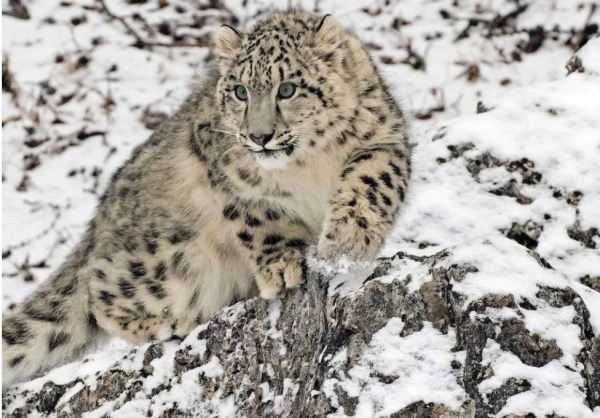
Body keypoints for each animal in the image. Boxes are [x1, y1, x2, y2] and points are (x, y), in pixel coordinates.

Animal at [1, 10, 412, 386]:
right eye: (240, 91)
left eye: (287, 89)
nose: (259, 136)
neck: (306, 164)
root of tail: (99, 221)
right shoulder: (227, 178)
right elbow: (261, 218)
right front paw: (283, 268)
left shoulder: (383, 140)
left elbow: (372, 183)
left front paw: (345, 243)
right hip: (168, 259)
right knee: (99, 290)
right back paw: (168, 322)